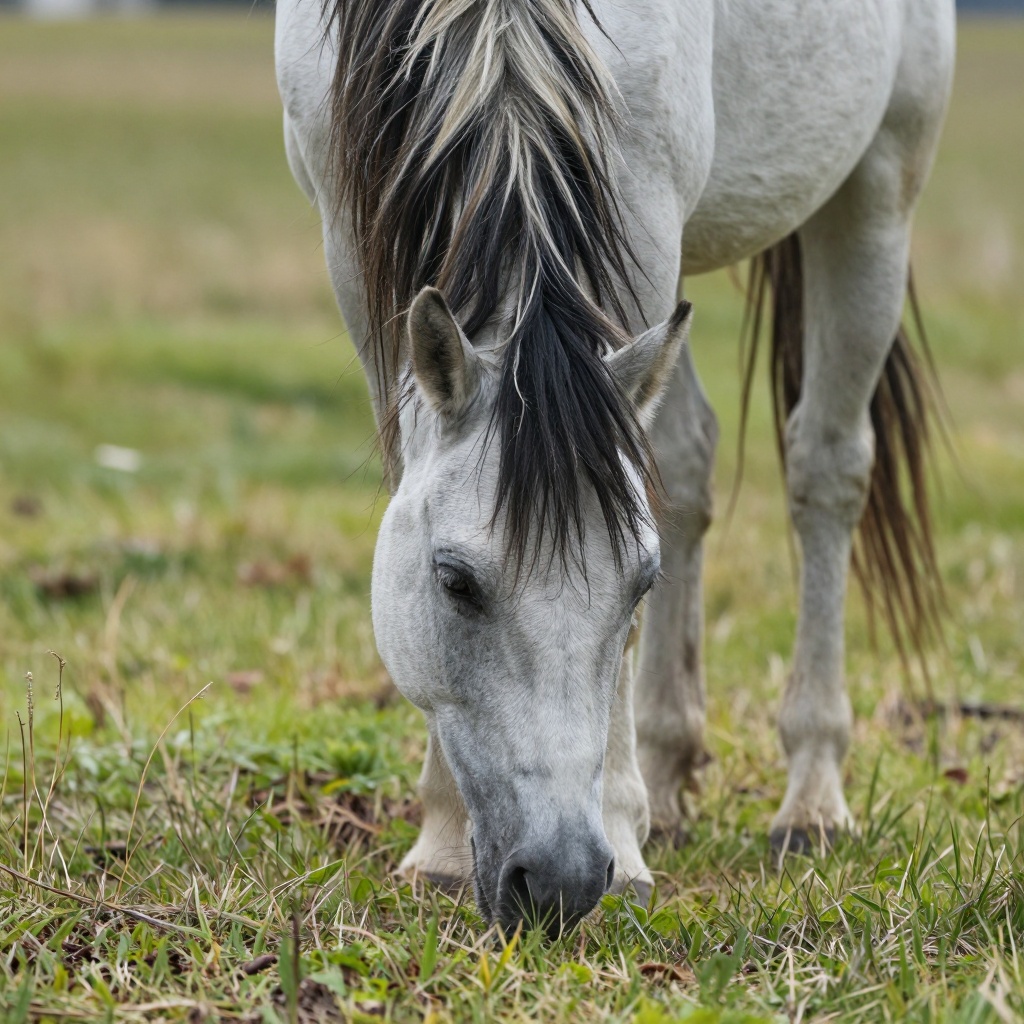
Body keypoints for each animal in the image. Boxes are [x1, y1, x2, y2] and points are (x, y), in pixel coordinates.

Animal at [274, 0, 955, 934]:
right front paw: (443, 841)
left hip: (876, 189)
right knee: (686, 460)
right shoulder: (352, 228)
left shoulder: (643, 212)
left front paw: (624, 847)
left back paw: (810, 796)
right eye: (453, 581)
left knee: (827, 467)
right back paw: (667, 782)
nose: (560, 881)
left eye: (641, 582)